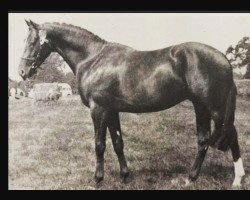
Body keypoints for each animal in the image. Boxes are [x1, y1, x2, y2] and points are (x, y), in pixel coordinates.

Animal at [18, 19, 245, 187]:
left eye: (32, 41)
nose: (22, 72)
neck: (93, 59)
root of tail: (224, 59)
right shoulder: (111, 111)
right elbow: (118, 143)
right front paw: (125, 176)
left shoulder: (98, 109)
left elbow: (99, 144)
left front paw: (97, 179)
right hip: (201, 107)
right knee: (204, 140)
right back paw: (191, 179)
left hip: (215, 108)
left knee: (231, 136)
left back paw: (236, 180)